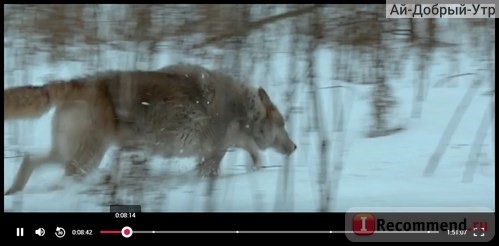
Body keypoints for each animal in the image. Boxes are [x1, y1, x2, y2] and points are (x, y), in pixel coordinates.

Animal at [3, 64, 296, 195]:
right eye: (283, 125)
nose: (295, 147)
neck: (241, 109)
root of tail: (84, 82)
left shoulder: (224, 147)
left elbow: (252, 151)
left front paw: (257, 167)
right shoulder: (215, 151)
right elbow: (212, 169)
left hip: (69, 154)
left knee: (30, 159)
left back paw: (14, 192)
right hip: (87, 159)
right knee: (62, 178)